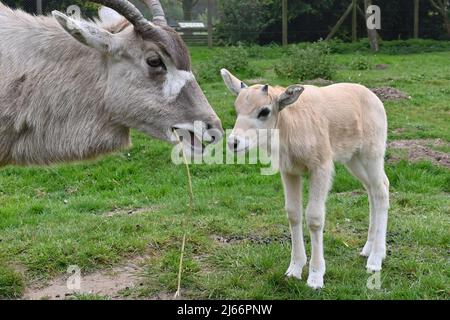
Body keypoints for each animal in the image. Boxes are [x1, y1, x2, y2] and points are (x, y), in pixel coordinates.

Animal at [222, 70, 390, 290]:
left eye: (264, 111)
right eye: (236, 109)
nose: (234, 143)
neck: (290, 126)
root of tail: (374, 97)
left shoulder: (321, 166)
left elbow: (314, 218)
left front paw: (316, 276)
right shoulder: (289, 170)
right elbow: (293, 213)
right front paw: (294, 269)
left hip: (372, 152)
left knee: (382, 190)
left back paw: (376, 259)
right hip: (353, 158)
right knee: (371, 190)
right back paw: (368, 248)